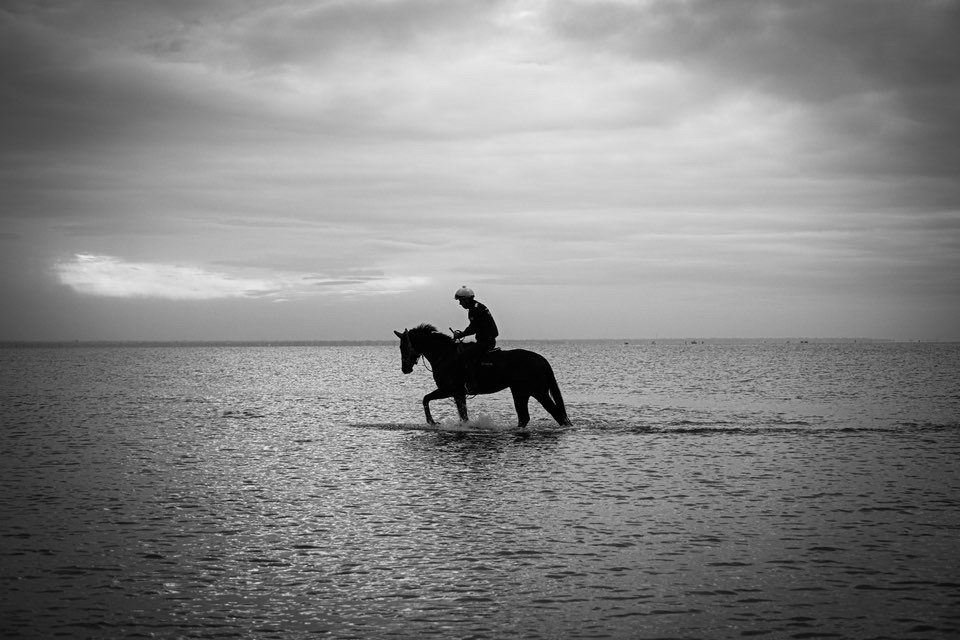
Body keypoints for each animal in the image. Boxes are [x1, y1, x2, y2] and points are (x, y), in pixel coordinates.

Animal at [392, 324, 568, 430]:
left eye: (403, 346)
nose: (405, 368)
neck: (445, 356)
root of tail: (541, 359)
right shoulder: (458, 393)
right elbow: (463, 415)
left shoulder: (449, 389)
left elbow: (425, 399)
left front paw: (432, 422)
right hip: (520, 392)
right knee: (525, 417)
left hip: (537, 391)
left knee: (556, 414)